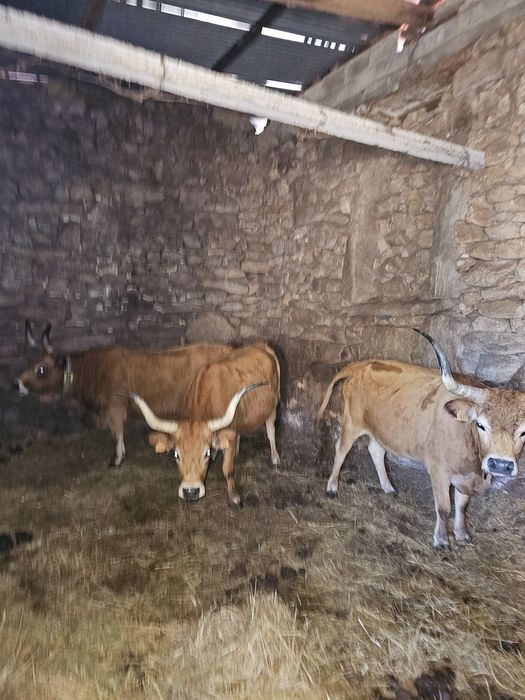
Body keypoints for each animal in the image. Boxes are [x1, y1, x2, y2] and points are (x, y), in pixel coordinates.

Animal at [14, 320, 233, 467]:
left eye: (41, 369)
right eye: (31, 362)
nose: (18, 384)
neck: (95, 370)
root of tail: (226, 349)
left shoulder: (115, 408)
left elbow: (116, 433)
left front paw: (116, 459)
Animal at [124, 342, 281, 506]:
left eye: (206, 453)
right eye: (176, 454)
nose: (191, 491)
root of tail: (260, 345)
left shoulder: (229, 435)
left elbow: (228, 469)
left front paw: (234, 497)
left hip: (273, 406)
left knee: (271, 430)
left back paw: (275, 458)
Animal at [319, 329, 525, 549]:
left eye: (523, 432)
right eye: (481, 425)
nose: (500, 464)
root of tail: (361, 364)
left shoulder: (464, 476)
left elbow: (462, 506)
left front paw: (462, 534)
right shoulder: (438, 469)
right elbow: (444, 508)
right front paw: (441, 540)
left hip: (379, 429)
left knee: (377, 451)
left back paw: (388, 488)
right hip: (352, 422)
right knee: (341, 450)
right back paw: (332, 488)